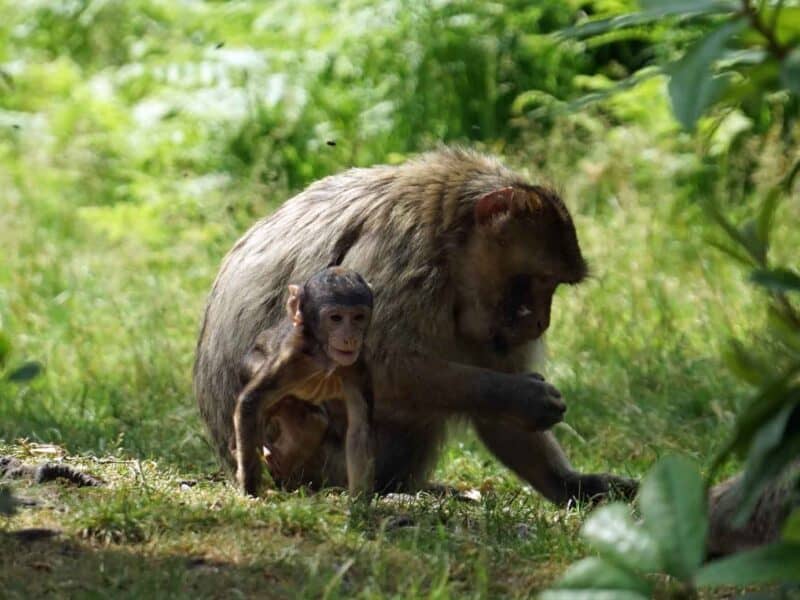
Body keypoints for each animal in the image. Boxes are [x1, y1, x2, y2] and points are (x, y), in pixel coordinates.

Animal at [233, 267, 375, 498]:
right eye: (336, 318)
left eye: (358, 317)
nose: (350, 338)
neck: (324, 355)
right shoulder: (292, 355)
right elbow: (251, 402)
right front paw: (249, 490)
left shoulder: (359, 365)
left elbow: (359, 428)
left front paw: (360, 502)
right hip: (250, 363)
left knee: (314, 422)